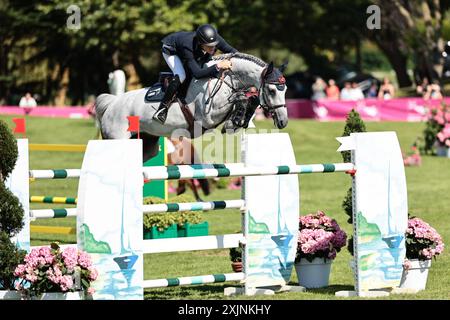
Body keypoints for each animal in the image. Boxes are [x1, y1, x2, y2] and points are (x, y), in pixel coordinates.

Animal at [96, 53, 290, 162]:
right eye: (272, 90)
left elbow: (249, 100)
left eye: (285, 89)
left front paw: (236, 122)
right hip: (117, 138)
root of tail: (112, 104)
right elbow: (239, 99)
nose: (283, 121)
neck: (226, 78)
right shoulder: (207, 116)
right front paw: (235, 118)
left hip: (147, 143)